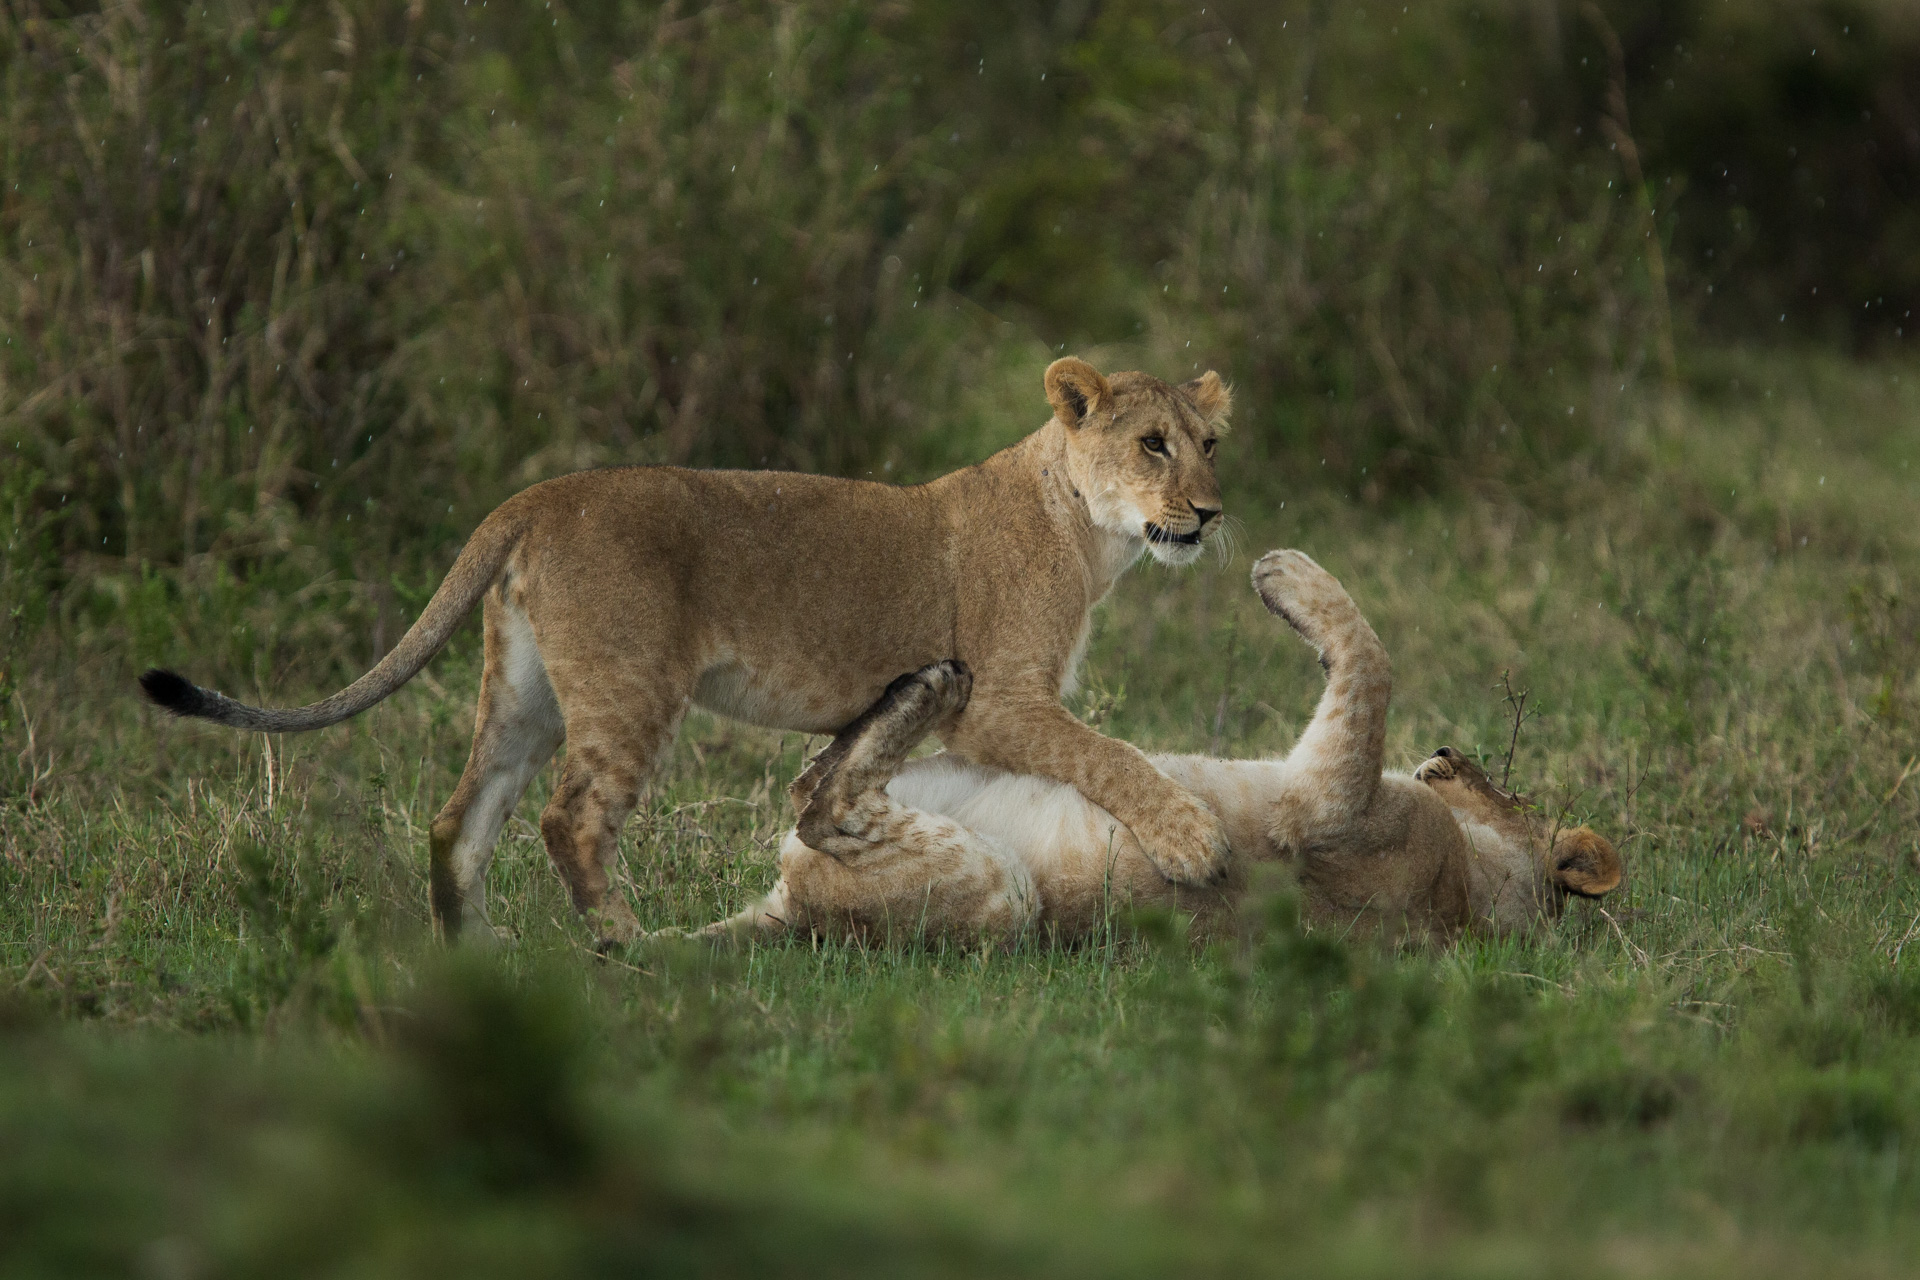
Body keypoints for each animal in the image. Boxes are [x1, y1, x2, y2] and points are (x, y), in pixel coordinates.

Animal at [691, 545, 1620, 948]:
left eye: (1510, 788)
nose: (1445, 756)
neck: (1480, 888)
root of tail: (787, 915)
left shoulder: (1328, 813)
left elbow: (1374, 663)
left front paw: (1286, 573)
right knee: (812, 783)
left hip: (1001, 899)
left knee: (823, 808)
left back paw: (931, 691)